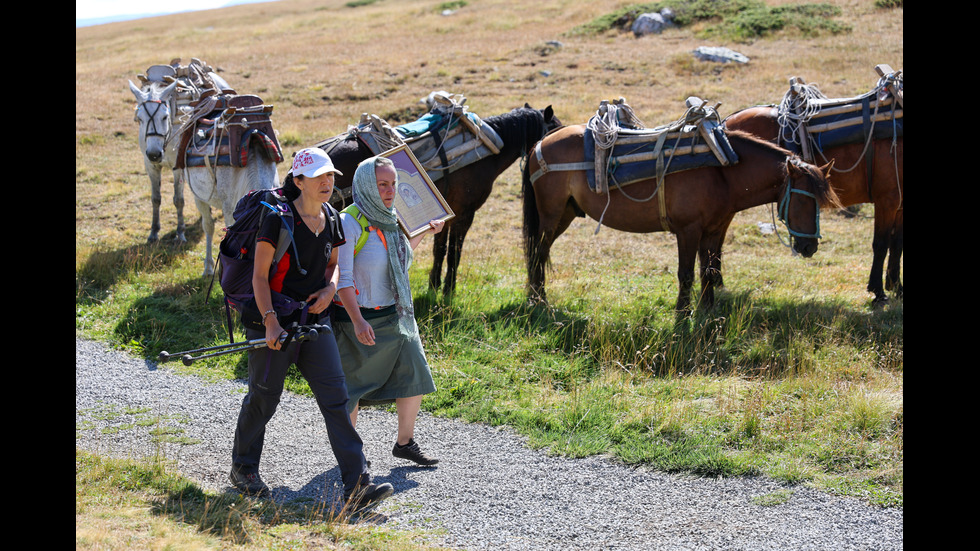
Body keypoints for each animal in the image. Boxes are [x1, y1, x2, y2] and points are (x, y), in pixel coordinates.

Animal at [322, 106, 564, 300]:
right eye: (555, 127)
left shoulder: (446, 212)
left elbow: (439, 248)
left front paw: (434, 286)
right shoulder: (465, 214)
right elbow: (455, 252)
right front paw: (449, 290)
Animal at [524, 126, 840, 314]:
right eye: (804, 199)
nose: (809, 247)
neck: (723, 170)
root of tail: (539, 143)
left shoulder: (714, 230)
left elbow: (709, 270)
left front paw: (708, 311)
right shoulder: (688, 231)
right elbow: (686, 274)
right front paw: (682, 313)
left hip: (565, 214)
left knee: (540, 252)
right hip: (551, 215)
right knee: (538, 253)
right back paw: (539, 300)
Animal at [720, 89, 904, 308]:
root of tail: (725, 123)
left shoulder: (900, 204)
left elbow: (897, 244)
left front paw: (897, 287)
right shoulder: (887, 200)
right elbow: (881, 244)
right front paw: (878, 291)